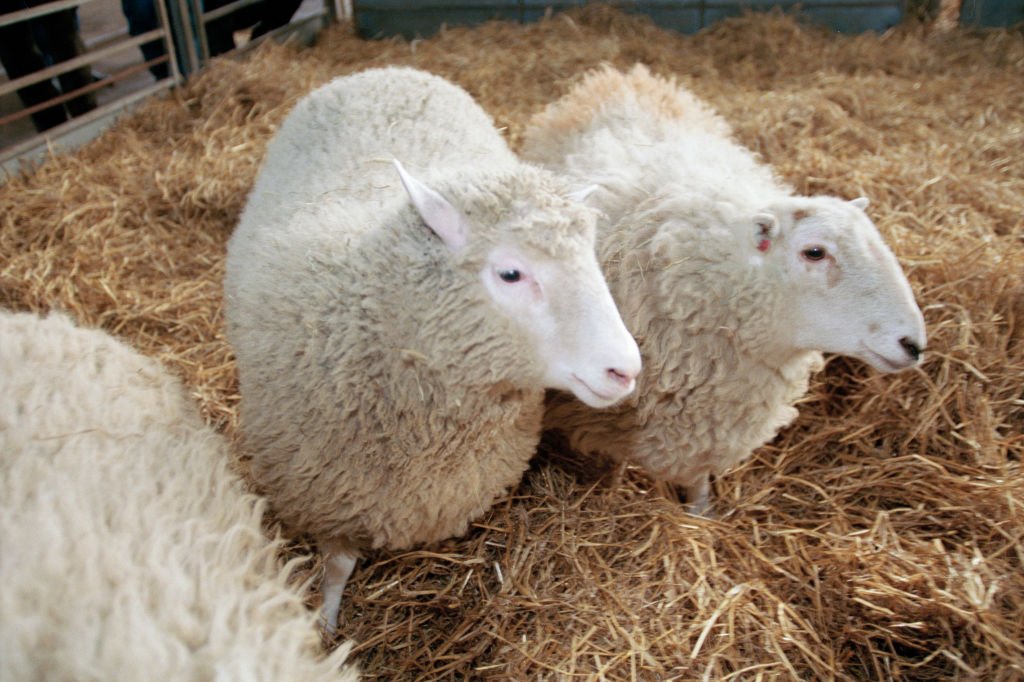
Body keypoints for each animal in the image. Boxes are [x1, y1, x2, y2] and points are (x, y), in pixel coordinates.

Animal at [223, 67, 642, 631]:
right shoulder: (325, 491)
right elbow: (336, 567)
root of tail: (386, 71)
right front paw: (326, 627)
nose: (626, 369)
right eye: (511, 273)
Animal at [521, 64, 928, 514]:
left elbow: (698, 476)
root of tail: (622, 76)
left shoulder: (709, 421)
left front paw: (701, 515)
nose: (913, 344)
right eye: (815, 252)